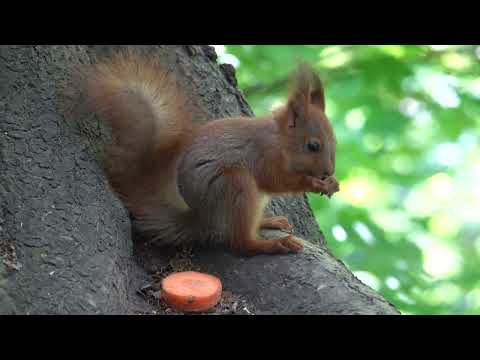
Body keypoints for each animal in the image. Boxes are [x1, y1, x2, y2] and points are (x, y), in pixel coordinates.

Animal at [73, 50, 340, 256]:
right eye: (313, 146)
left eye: (334, 142)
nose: (327, 172)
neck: (281, 140)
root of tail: (202, 217)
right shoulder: (263, 155)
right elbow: (275, 180)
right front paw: (314, 183)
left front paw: (331, 183)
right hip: (234, 184)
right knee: (240, 243)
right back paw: (272, 244)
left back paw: (268, 220)